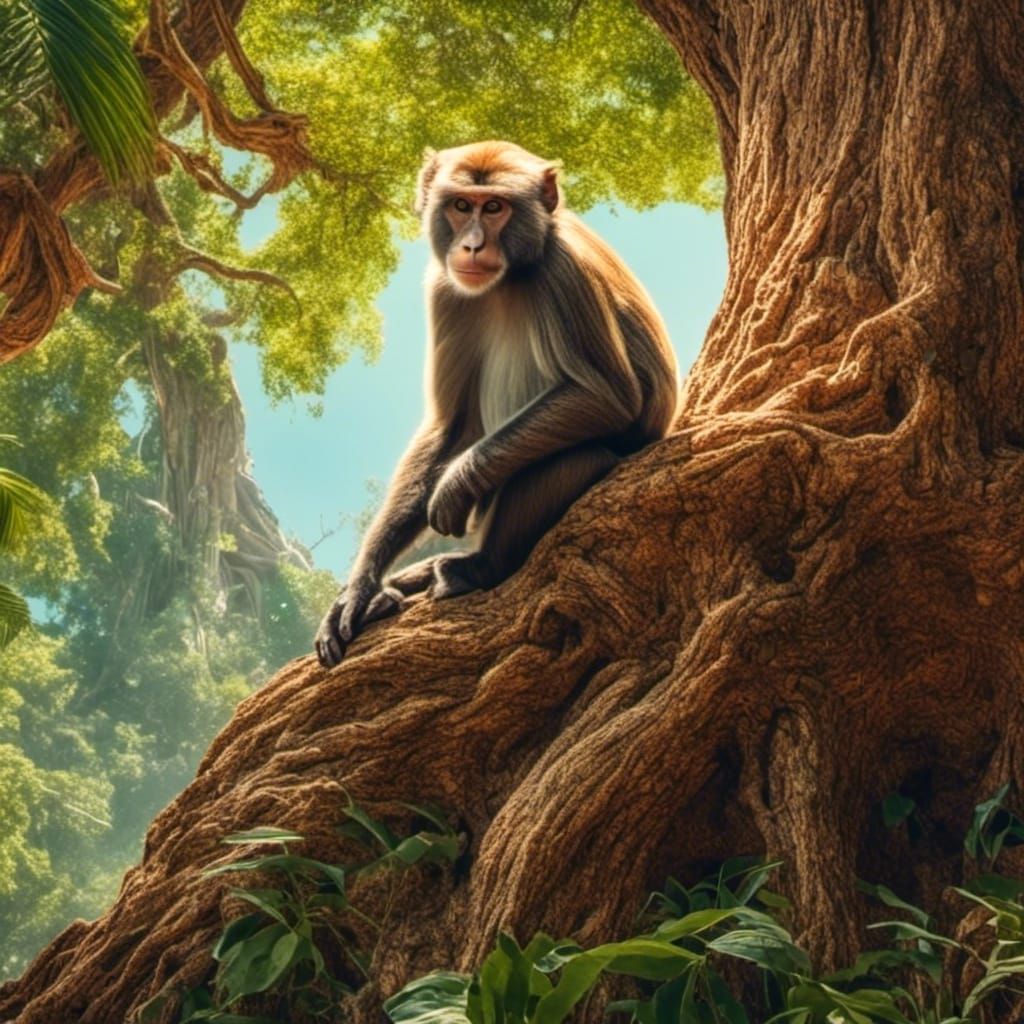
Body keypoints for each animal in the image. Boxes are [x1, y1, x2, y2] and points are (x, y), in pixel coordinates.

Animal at [315, 140, 678, 668]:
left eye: (494, 207)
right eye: (461, 205)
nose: (470, 245)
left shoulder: (562, 271)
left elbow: (605, 396)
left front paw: (454, 486)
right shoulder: (446, 289)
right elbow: (451, 425)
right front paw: (360, 588)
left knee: (569, 455)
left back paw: (479, 567)